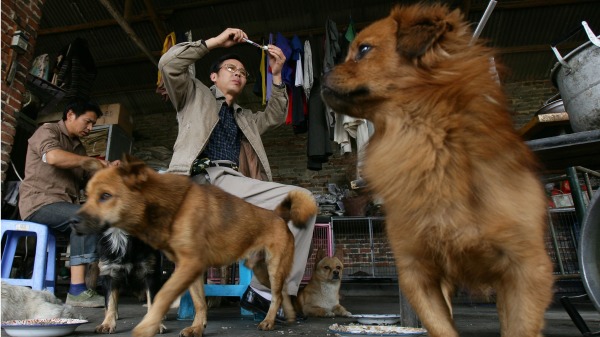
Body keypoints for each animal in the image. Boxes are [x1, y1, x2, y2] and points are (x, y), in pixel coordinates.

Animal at [70, 156, 318, 336]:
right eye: (87, 195)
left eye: (105, 196)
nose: (73, 222)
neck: (173, 207)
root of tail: (277, 215)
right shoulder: (191, 268)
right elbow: (199, 302)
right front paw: (198, 327)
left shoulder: (187, 266)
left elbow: (162, 297)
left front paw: (148, 326)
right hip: (261, 270)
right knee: (282, 291)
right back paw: (288, 315)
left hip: (274, 267)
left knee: (276, 295)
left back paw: (268, 321)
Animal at [324, 3, 552, 336]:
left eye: (363, 49)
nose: (323, 74)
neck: (429, 148)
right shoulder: (418, 274)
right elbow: (442, 328)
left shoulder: (526, 270)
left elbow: (520, 327)